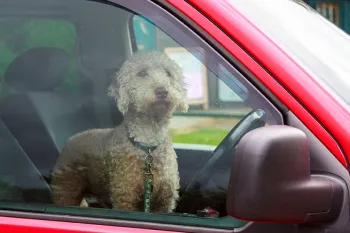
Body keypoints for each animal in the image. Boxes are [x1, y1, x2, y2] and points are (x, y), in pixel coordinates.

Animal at [50, 50, 189, 213]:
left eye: (168, 73)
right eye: (142, 73)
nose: (162, 91)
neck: (147, 144)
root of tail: (70, 139)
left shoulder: (164, 201)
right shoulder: (125, 197)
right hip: (66, 189)